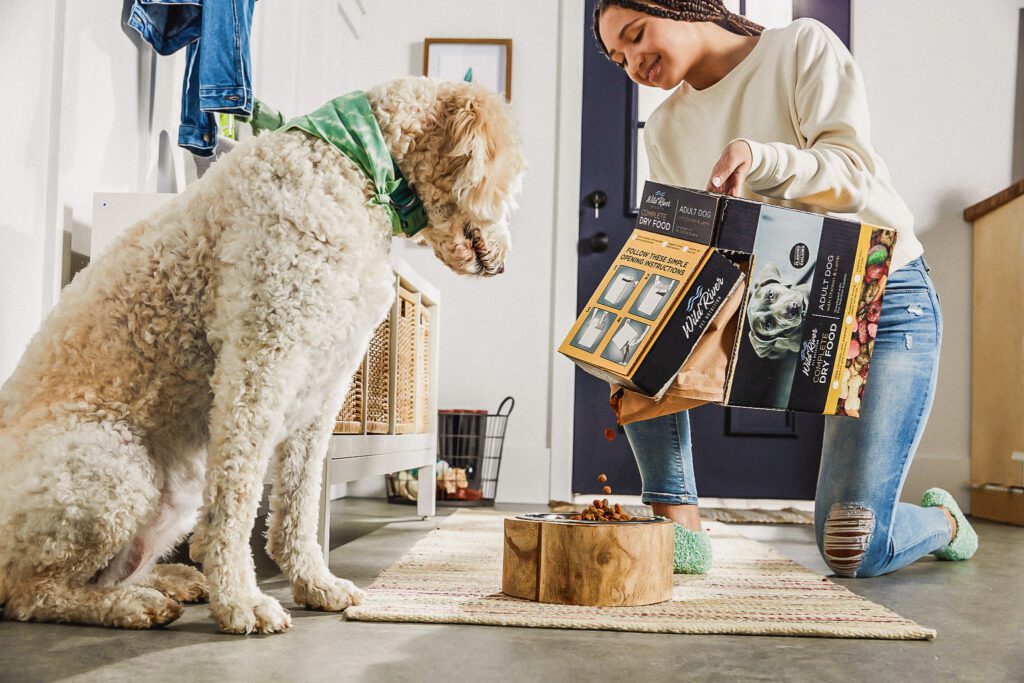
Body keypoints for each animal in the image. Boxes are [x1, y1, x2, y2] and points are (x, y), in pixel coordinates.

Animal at [0, 77, 524, 634]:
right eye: (509, 185)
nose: (505, 264)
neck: (353, 163)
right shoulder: (261, 361)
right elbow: (236, 497)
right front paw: (240, 600)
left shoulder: (324, 384)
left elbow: (298, 497)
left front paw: (314, 582)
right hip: (113, 464)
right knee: (31, 593)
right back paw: (133, 605)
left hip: (175, 489)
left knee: (107, 571)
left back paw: (169, 582)